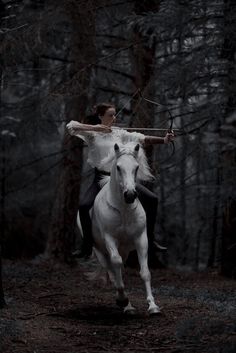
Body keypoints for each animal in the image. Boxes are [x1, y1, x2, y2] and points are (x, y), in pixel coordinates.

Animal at [90, 142, 160, 314]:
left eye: (136, 167)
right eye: (118, 167)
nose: (130, 195)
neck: (123, 210)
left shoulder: (141, 239)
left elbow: (145, 272)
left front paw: (153, 306)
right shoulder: (110, 238)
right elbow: (116, 265)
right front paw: (122, 299)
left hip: (125, 250)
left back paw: (128, 306)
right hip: (100, 251)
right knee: (113, 272)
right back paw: (124, 302)